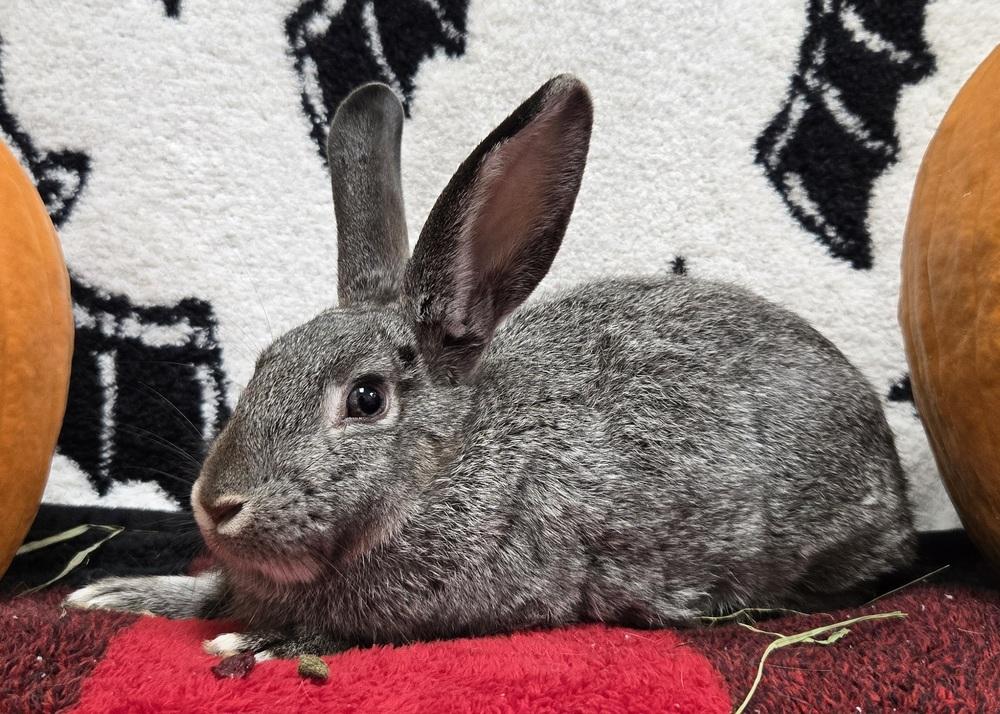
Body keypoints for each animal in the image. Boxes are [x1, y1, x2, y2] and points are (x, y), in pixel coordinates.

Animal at [66, 75, 915, 660]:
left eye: (366, 398)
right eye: (263, 363)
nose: (217, 505)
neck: (442, 469)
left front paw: (264, 643)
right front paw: (114, 595)